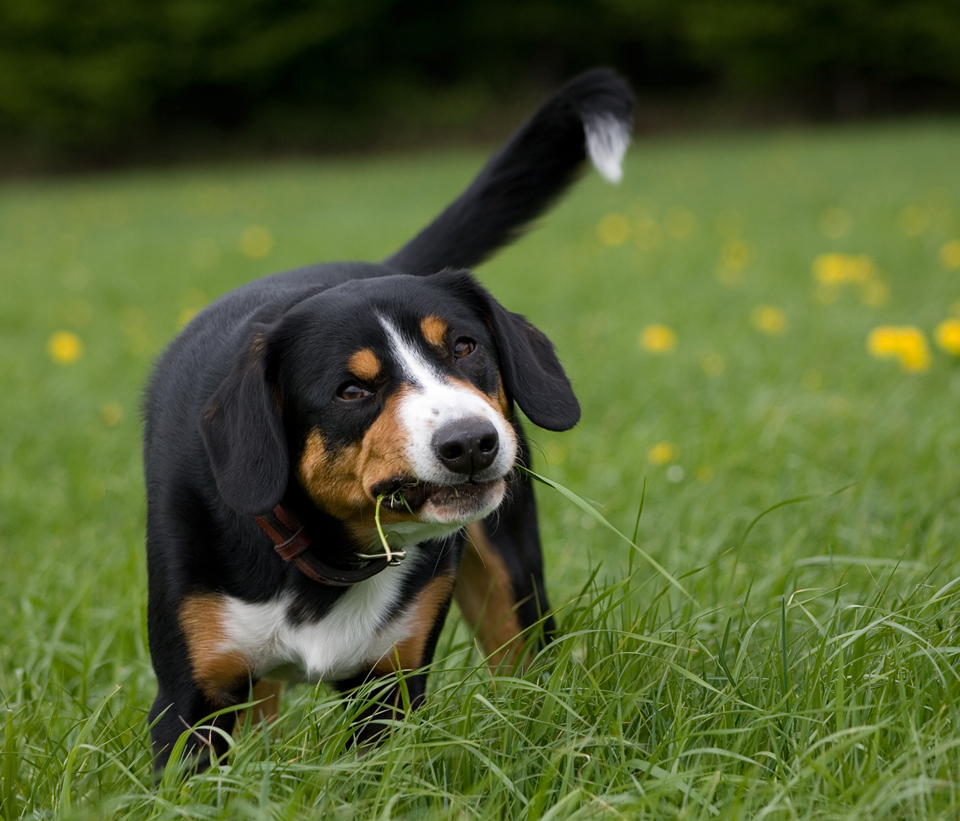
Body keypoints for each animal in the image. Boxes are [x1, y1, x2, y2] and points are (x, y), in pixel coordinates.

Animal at [142, 69, 632, 768]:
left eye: (464, 347)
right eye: (351, 390)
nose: (471, 442)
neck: (330, 556)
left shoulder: (389, 684)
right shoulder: (190, 699)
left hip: (511, 576)